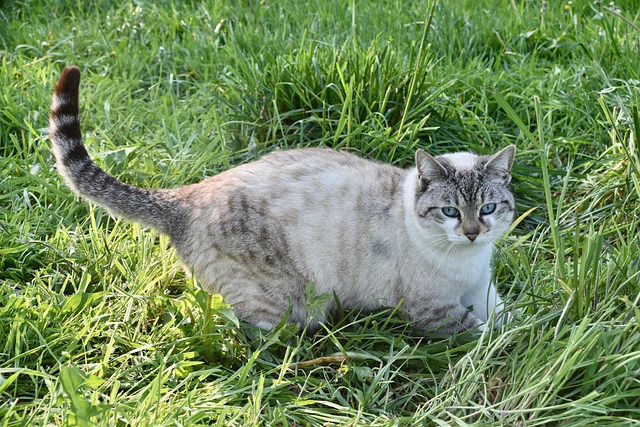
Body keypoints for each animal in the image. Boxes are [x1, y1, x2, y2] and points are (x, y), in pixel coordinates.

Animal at [51, 67, 520, 334]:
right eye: (450, 212)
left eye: (488, 209)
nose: (473, 233)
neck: (466, 262)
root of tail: (188, 194)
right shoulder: (435, 310)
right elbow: (489, 334)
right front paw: (519, 344)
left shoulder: (482, 290)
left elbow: (508, 316)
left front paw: (532, 329)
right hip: (283, 305)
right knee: (241, 328)